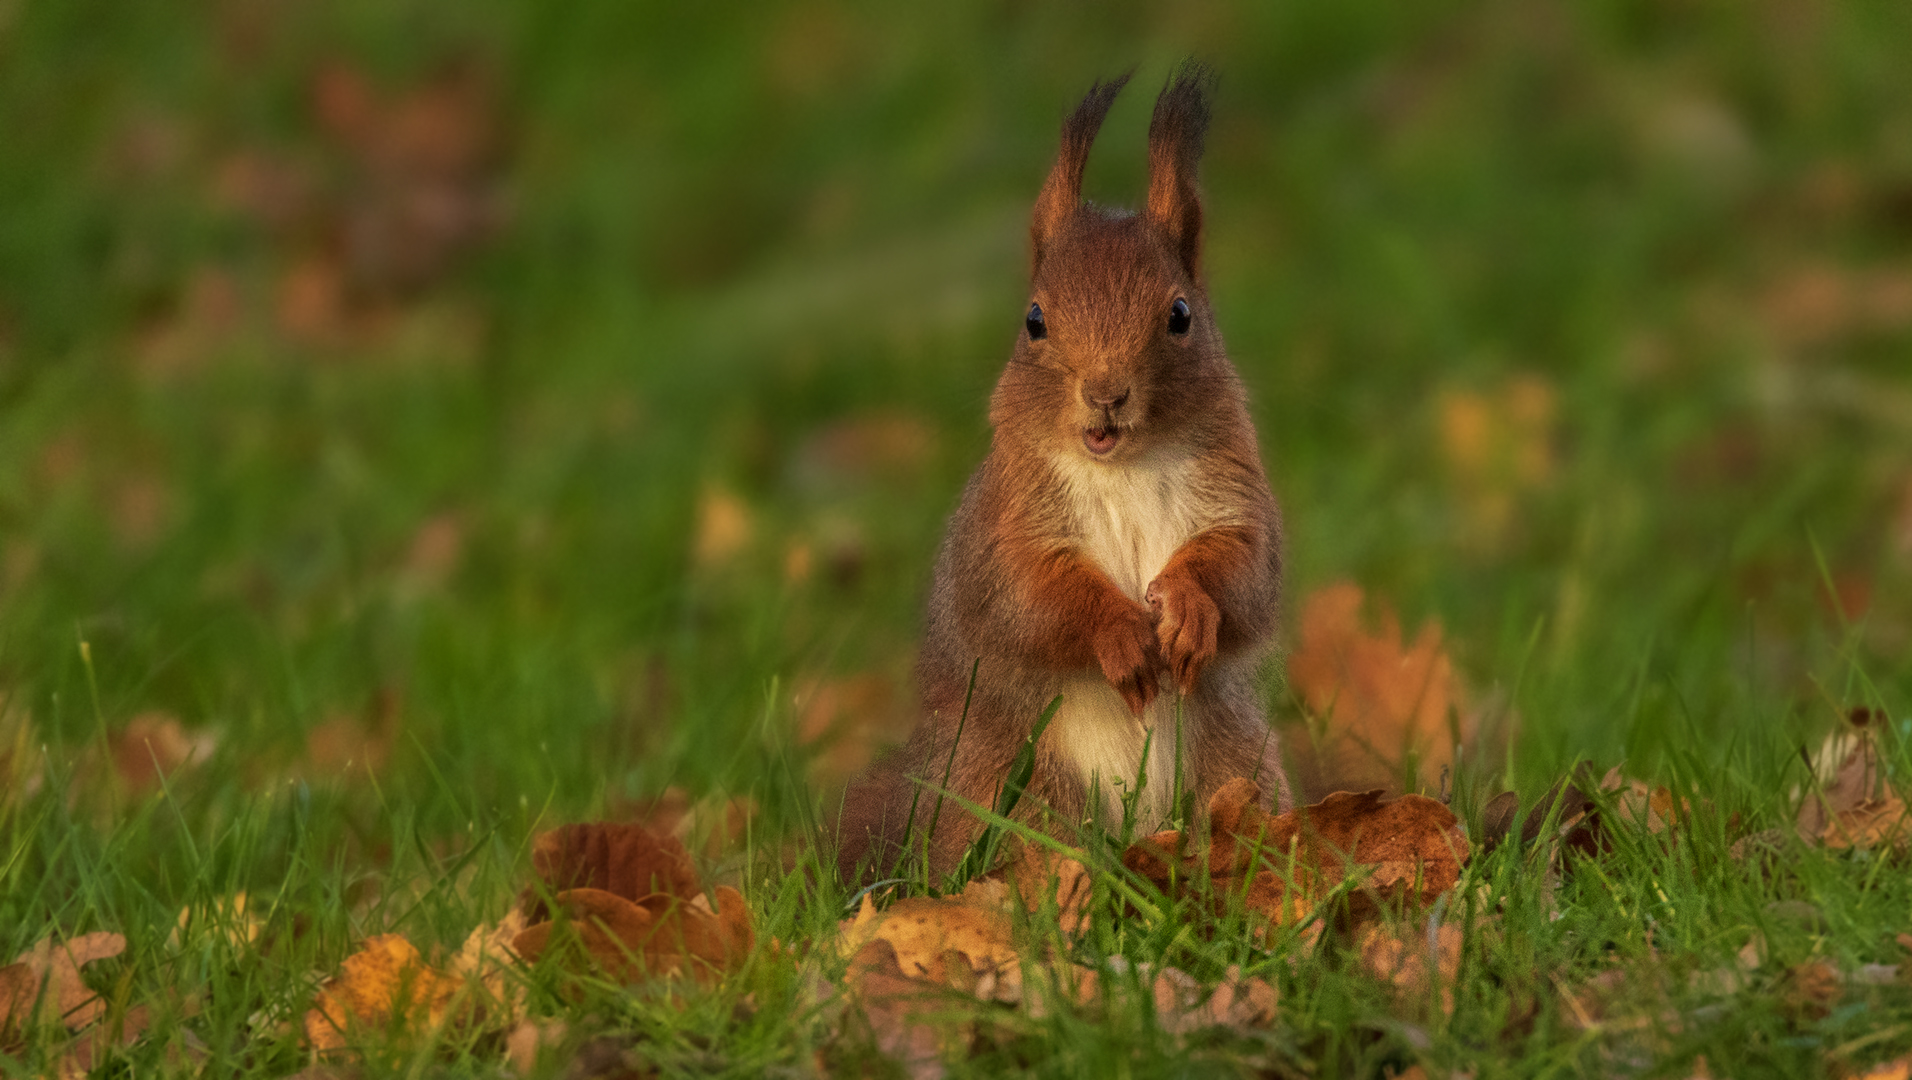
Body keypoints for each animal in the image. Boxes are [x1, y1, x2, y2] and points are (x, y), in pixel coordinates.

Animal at [833, 65, 1292, 875]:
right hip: (1012, 790)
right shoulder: (1008, 526)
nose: (1106, 393)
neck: (1123, 467)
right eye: (1034, 321)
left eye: (1180, 315)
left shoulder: (1237, 501)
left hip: (1237, 763)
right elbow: (1031, 597)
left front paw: (1187, 605)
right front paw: (1119, 631)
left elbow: (1244, 576)